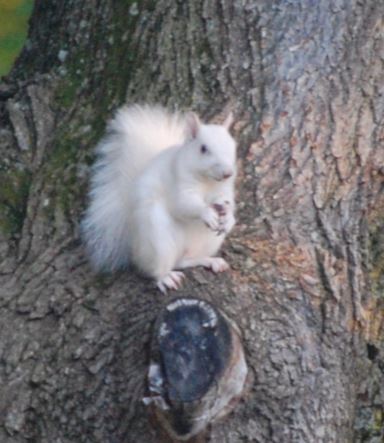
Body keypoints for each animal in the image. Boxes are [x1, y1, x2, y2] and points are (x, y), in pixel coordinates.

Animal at [82, 103, 236, 292]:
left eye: (233, 145)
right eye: (203, 149)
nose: (228, 173)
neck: (208, 181)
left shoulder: (225, 191)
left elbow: (229, 203)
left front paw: (229, 218)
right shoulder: (178, 183)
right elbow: (183, 205)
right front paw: (206, 213)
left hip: (209, 242)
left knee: (184, 261)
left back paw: (210, 260)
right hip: (159, 237)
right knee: (158, 268)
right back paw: (166, 278)